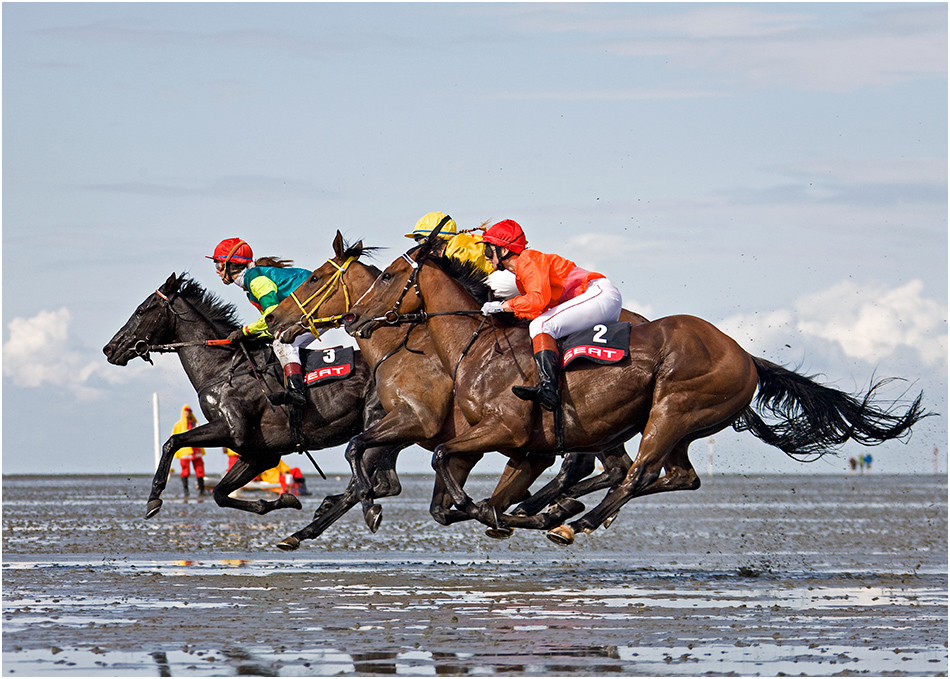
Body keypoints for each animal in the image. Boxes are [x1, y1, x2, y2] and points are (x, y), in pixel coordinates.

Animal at [102, 272, 405, 550]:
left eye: (141, 311)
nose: (110, 348)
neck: (222, 368)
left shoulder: (230, 431)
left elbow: (172, 442)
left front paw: (153, 498)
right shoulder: (259, 453)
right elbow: (219, 494)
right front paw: (285, 499)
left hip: (376, 424)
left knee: (360, 487)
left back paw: (304, 531)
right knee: (386, 485)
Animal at [264, 232, 646, 536]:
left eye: (314, 278)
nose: (272, 318)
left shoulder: (419, 420)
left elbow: (359, 455)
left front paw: (361, 508)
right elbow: (429, 500)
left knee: (601, 468)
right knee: (612, 469)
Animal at [340, 234, 931, 544]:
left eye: (388, 276)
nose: (355, 318)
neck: (475, 347)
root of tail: (745, 356)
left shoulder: (505, 431)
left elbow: (442, 459)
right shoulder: (528, 448)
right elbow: (469, 493)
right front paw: (519, 512)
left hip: (673, 407)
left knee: (640, 473)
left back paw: (580, 521)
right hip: (674, 425)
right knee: (675, 476)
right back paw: (569, 514)